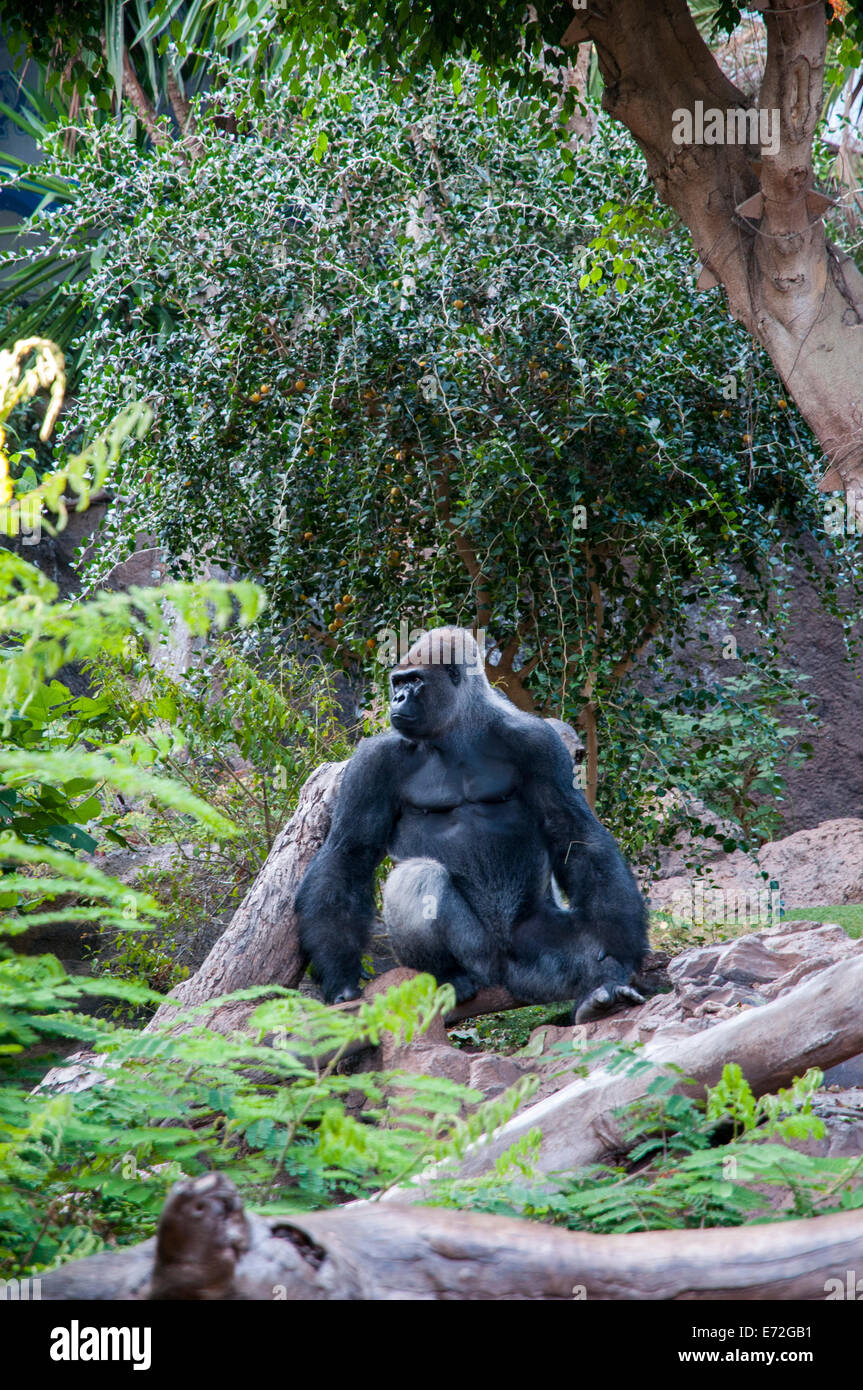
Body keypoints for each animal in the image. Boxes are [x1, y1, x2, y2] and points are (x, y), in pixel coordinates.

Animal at [293, 631, 642, 1023]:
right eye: (398, 682)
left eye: (415, 681)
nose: (397, 699)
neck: (458, 730)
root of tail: (504, 973)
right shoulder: (371, 760)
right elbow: (350, 852)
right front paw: (339, 974)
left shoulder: (539, 742)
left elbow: (574, 833)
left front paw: (621, 947)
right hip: (478, 956)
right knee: (418, 876)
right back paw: (449, 975)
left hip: (531, 949)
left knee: (572, 949)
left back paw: (601, 989)